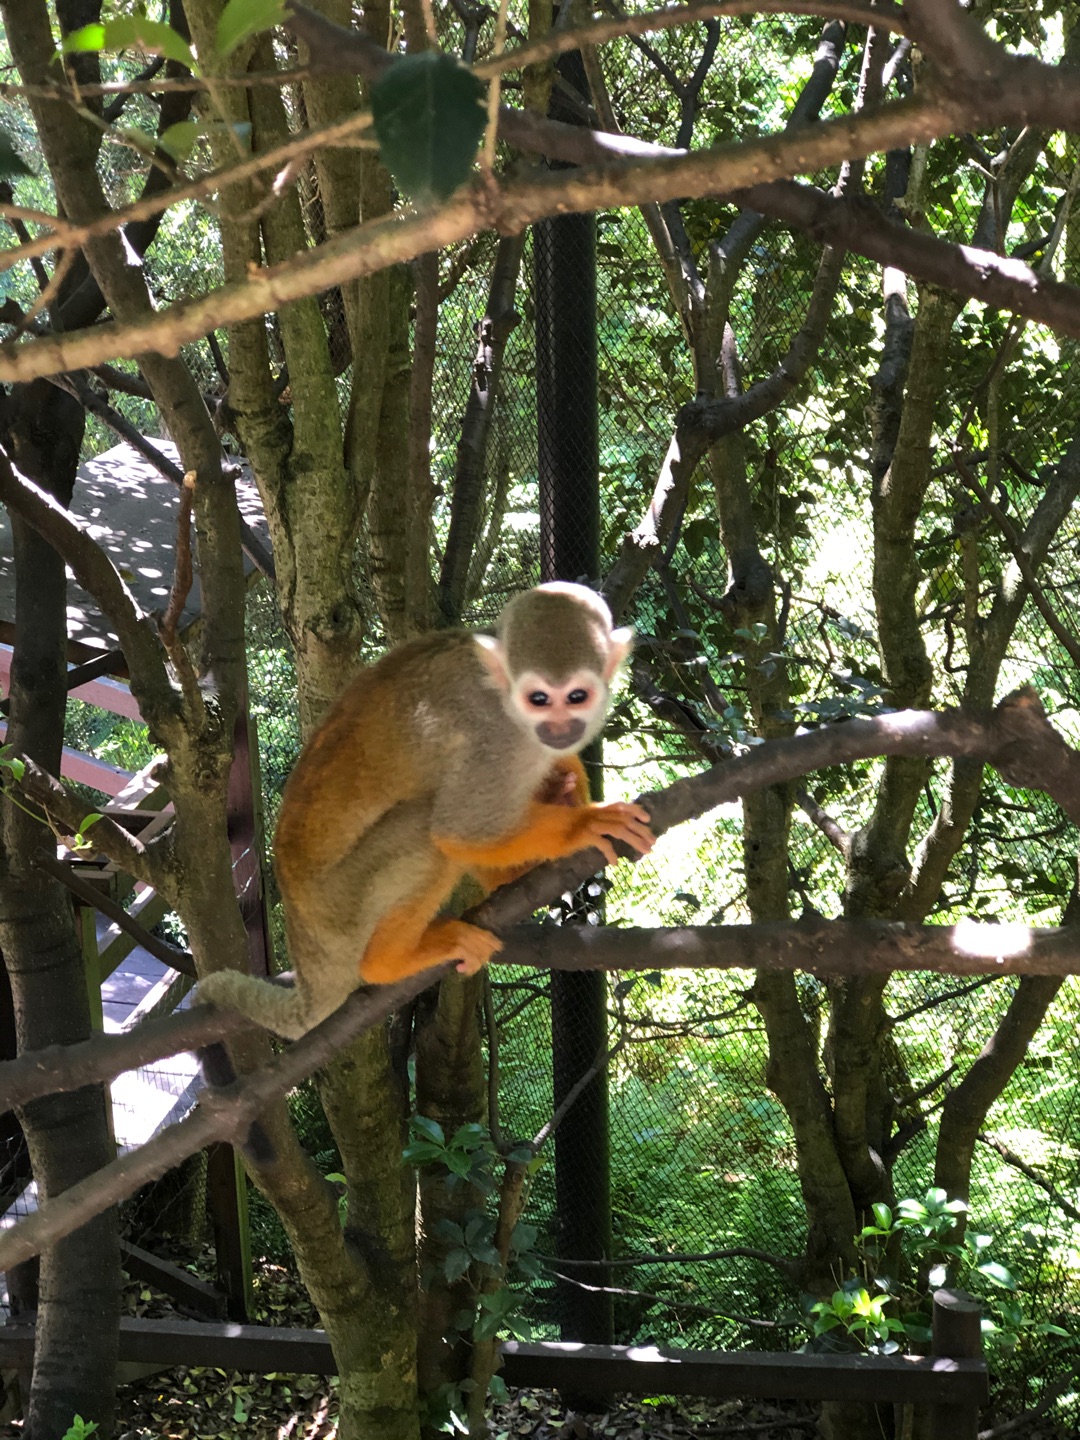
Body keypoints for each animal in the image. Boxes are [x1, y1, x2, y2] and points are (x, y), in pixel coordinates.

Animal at [195, 578, 656, 1042]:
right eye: (539, 698)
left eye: (577, 697)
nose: (559, 728)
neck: (507, 702)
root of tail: (307, 946)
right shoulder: (494, 740)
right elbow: (461, 831)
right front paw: (585, 823)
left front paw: (564, 788)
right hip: (343, 904)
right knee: (427, 829)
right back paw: (390, 960)